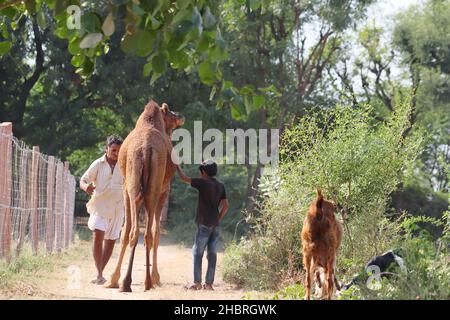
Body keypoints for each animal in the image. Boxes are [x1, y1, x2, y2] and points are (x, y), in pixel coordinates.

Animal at [104, 100, 184, 292]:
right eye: (171, 113)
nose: (180, 115)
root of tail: (146, 148)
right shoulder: (162, 191)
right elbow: (150, 232)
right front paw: (155, 278)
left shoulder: (130, 189)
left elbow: (128, 231)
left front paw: (113, 279)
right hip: (148, 190)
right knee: (144, 233)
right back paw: (142, 281)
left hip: (138, 187)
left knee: (138, 231)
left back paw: (130, 282)